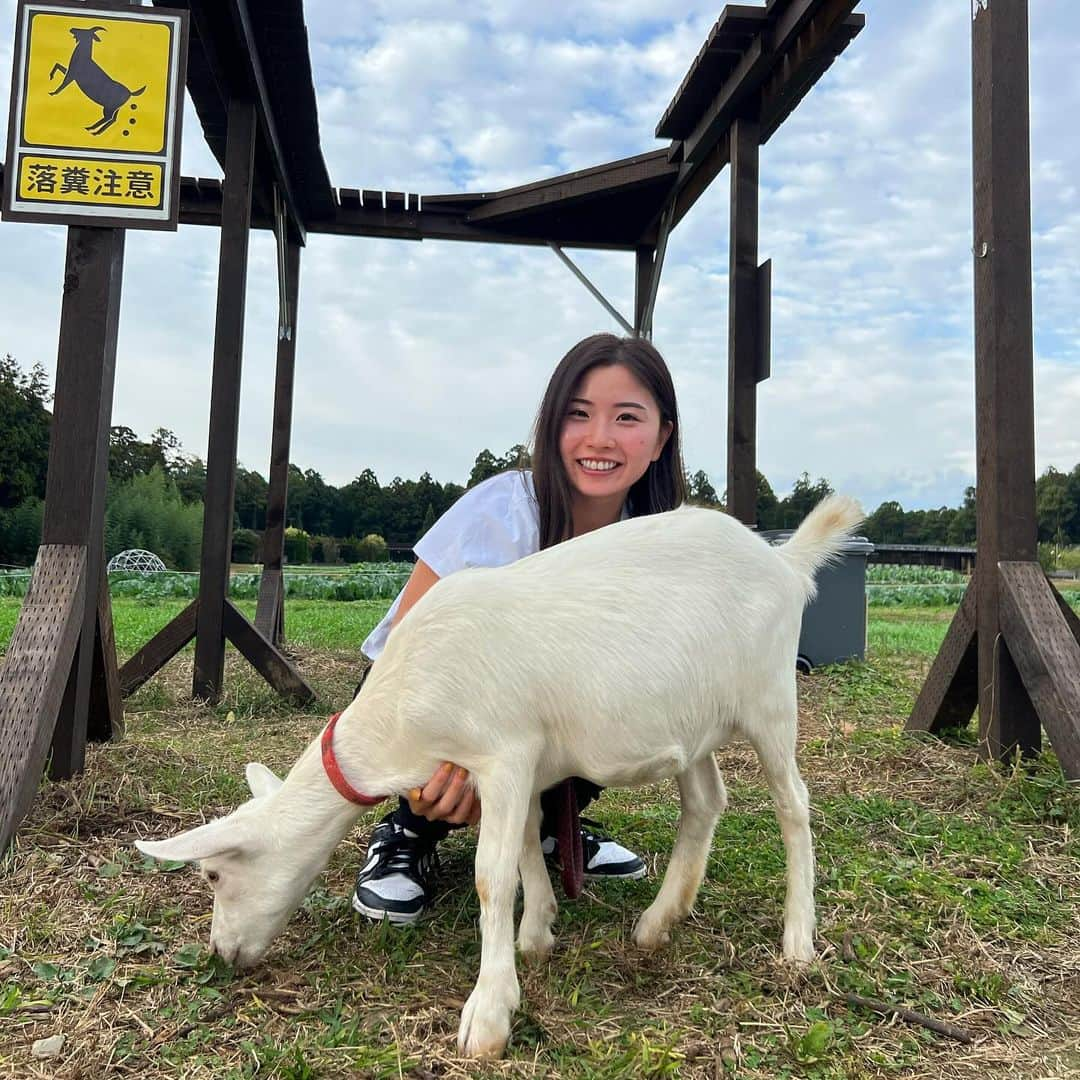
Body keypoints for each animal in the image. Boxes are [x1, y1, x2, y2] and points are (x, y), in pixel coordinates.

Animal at [137, 494, 859, 1054]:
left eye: (214, 873)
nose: (221, 954)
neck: (405, 713)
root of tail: (784, 561)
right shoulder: (528, 762)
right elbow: (528, 849)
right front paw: (537, 933)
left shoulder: (503, 751)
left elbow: (492, 875)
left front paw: (488, 1012)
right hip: (693, 719)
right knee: (707, 799)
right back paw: (659, 920)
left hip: (769, 698)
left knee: (794, 806)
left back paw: (797, 939)